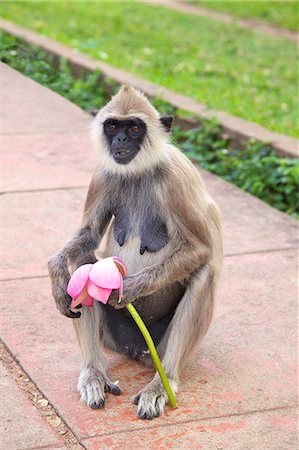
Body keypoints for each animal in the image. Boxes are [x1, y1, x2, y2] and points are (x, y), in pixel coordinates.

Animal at [48, 86, 223, 420]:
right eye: (113, 126)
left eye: (134, 128)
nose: (120, 141)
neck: (139, 171)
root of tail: (135, 348)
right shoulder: (103, 175)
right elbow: (89, 237)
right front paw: (56, 272)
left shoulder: (176, 176)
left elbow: (201, 249)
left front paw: (128, 288)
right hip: (113, 338)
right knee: (84, 264)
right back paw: (94, 373)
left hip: (158, 344)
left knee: (204, 273)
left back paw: (163, 382)